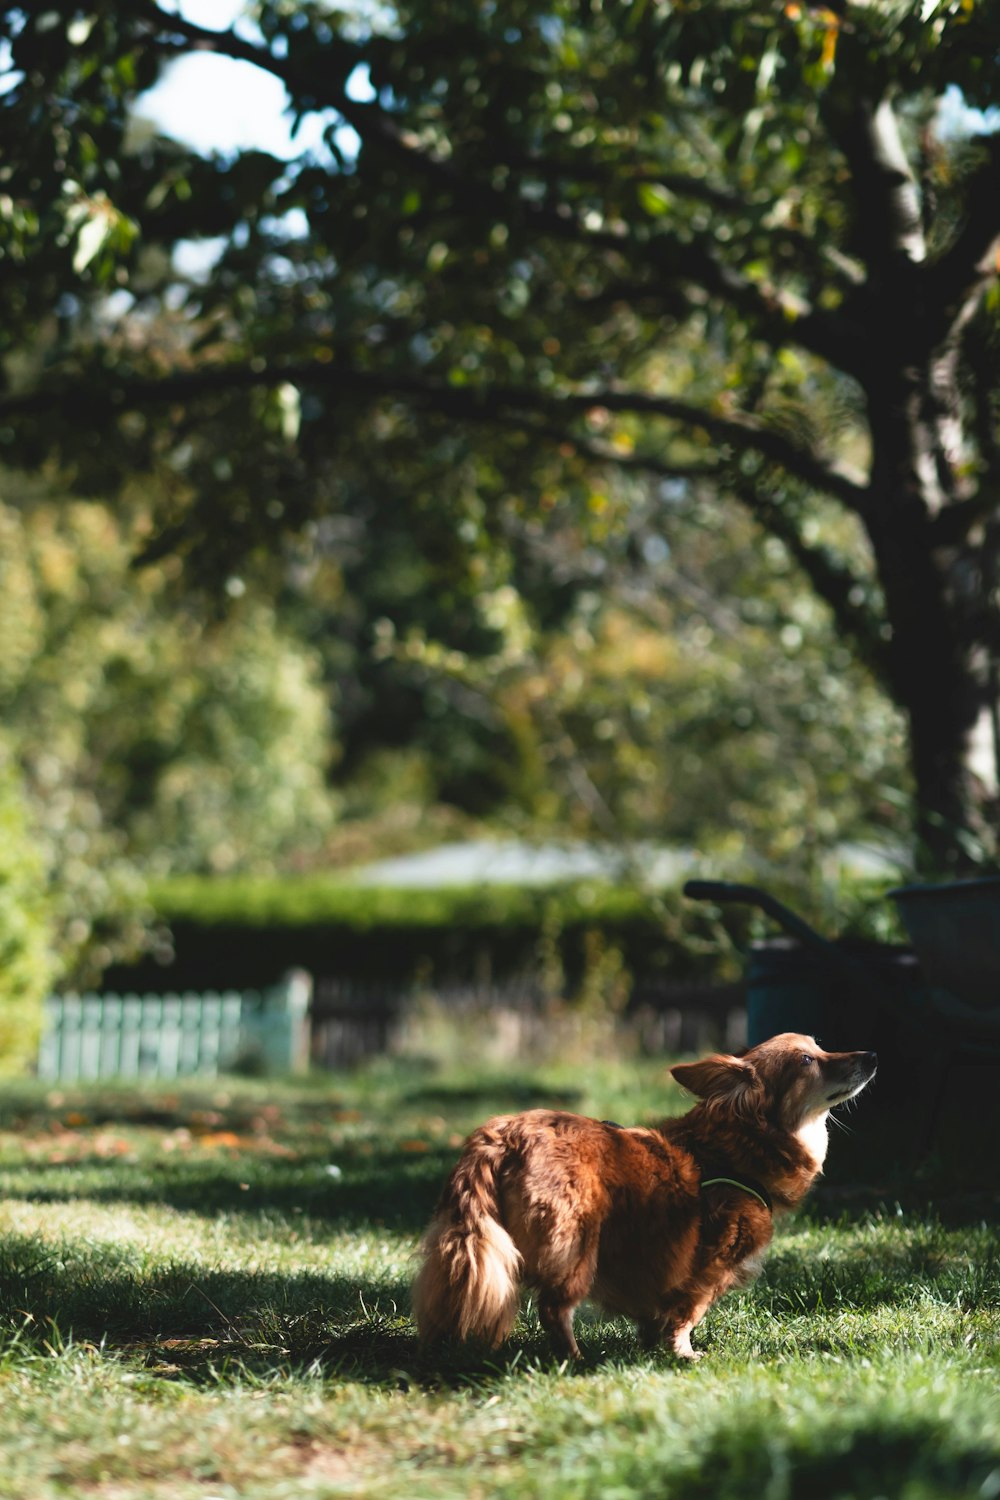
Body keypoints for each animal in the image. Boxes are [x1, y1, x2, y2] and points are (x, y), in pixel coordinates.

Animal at [413, 1032, 875, 1362]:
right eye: (806, 1061)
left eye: (820, 1046)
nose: (872, 1055)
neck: (736, 1149)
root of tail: (501, 1136)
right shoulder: (706, 1269)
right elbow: (687, 1313)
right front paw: (683, 1353)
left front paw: (651, 1343)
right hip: (577, 1246)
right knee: (554, 1309)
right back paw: (576, 1359)